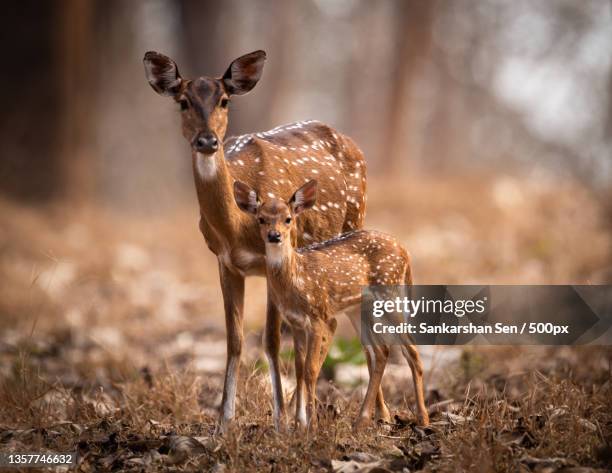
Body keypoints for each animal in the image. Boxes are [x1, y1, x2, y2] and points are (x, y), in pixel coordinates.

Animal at [143, 49, 388, 430]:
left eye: (225, 100)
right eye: (182, 101)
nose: (207, 141)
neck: (237, 229)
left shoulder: (272, 259)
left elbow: (271, 341)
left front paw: (281, 419)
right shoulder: (225, 263)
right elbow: (234, 340)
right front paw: (224, 422)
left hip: (354, 218)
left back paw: (376, 415)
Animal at [234, 179, 430, 430]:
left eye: (288, 218)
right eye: (261, 218)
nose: (274, 235)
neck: (297, 279)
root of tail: (405, 250)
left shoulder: (319, 315)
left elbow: (311, 370)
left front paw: (311, 425)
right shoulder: (296, 322)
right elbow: (298, 369)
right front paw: (298, 425)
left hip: (390, 294)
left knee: (411, 350)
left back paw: (423, 419)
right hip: (359, 308)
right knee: (380, 351)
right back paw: (361, 421)